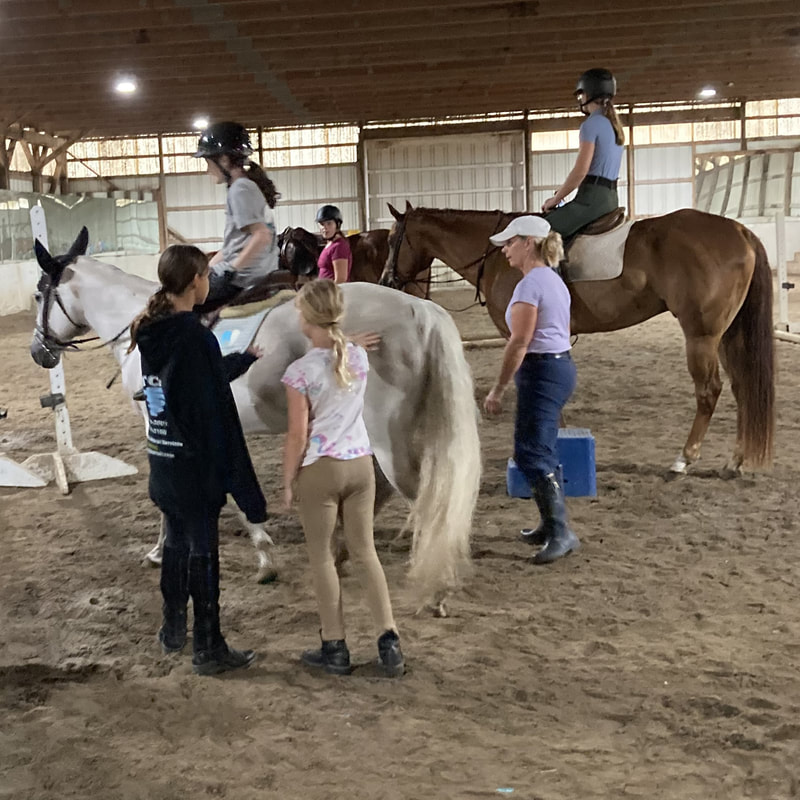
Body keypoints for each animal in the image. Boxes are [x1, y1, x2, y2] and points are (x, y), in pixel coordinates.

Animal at [29, 228, 482, 608]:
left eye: (38, 295)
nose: (39, 352)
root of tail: (419, 308)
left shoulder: (163, 426)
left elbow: (172, 493)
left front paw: (162, 551)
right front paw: (264, 555)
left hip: (387, 435)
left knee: (419, 495)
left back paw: (434, 589)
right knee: (386, 490)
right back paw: (341, 553)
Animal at [382, 203, 776, 476]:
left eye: (390, 240)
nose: (386, 281)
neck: (499, 255)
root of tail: (738, 230)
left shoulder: (520, 336)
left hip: (701, 335)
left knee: (709, 391)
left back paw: (684, 459)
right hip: (725, 335)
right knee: (742, 386)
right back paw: (735, 460)